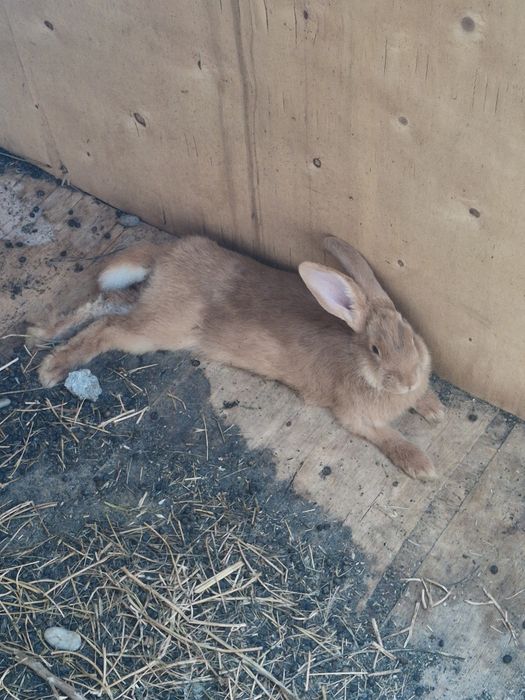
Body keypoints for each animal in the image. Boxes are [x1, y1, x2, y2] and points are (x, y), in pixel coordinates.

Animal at [28, 235, 445, 479]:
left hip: (150, 308)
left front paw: (434, 409)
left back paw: (42, 334)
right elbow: (386, 436)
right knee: (109, 328)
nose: (409, 379)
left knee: (106, 303)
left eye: (409, 335)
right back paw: (53, 367)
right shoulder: (353, 416)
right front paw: (422, 465)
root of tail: (169, 253)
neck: (357, 360)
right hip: (160, 329)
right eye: (375, 349)